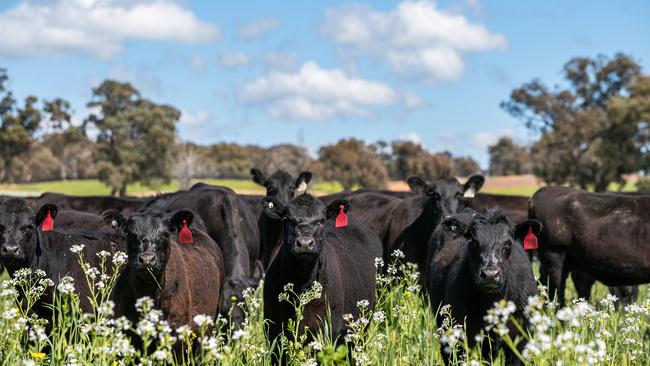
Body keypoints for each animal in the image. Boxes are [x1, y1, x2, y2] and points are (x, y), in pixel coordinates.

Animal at [260, 194, 380, 358]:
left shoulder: (327, 328)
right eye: (288, 219)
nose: (305, 243)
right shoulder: (273, 329)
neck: (301, 282)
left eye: (321, 221)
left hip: (361, 327)